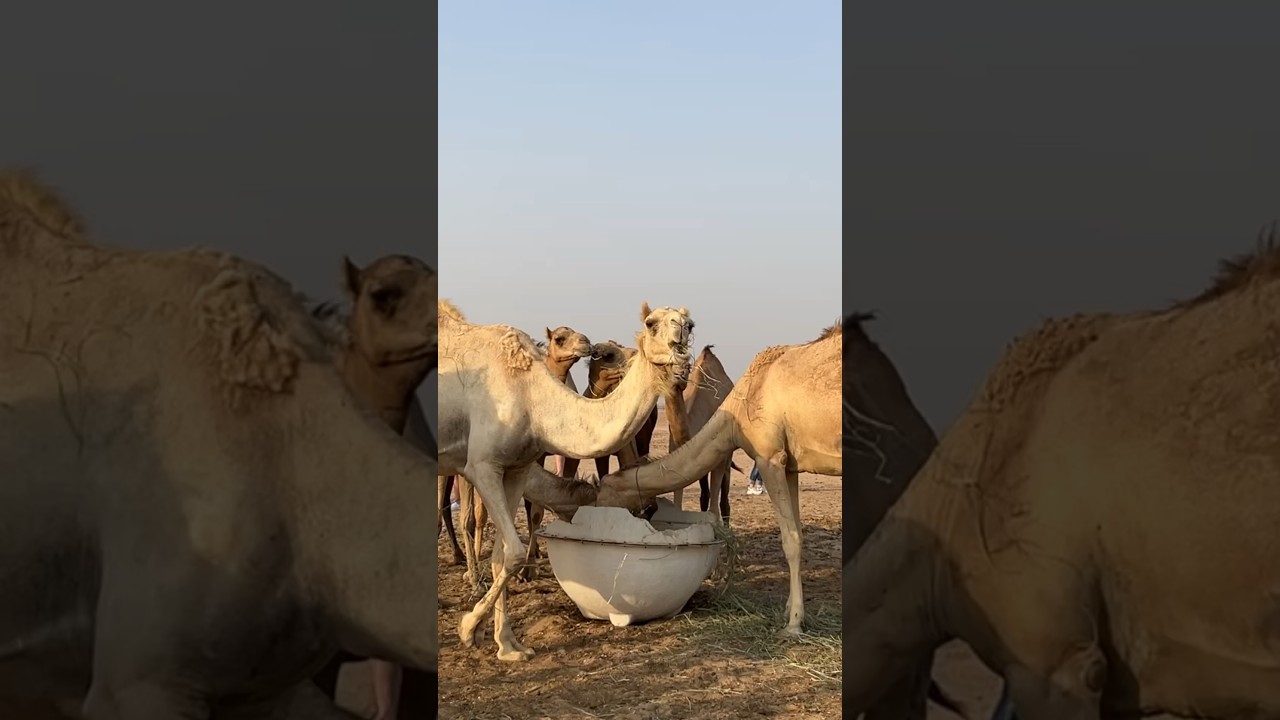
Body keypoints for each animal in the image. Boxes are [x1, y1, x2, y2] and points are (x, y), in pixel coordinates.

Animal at [438, 299, 692, 660]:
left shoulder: (516, 467)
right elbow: (514, 552)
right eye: (651, 323)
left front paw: (508, 646)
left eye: (689, 323)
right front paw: (469, 628)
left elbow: (502, 557)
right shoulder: (482, 465)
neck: (532, 397)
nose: (680, 342)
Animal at [597, 322, 841, 636]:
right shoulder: (790, 464)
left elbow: (791, 540)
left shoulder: (769, 457)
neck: (738, 408)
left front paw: (793, 624)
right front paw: (789, 610)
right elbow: (797, 530)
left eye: (601, 497)